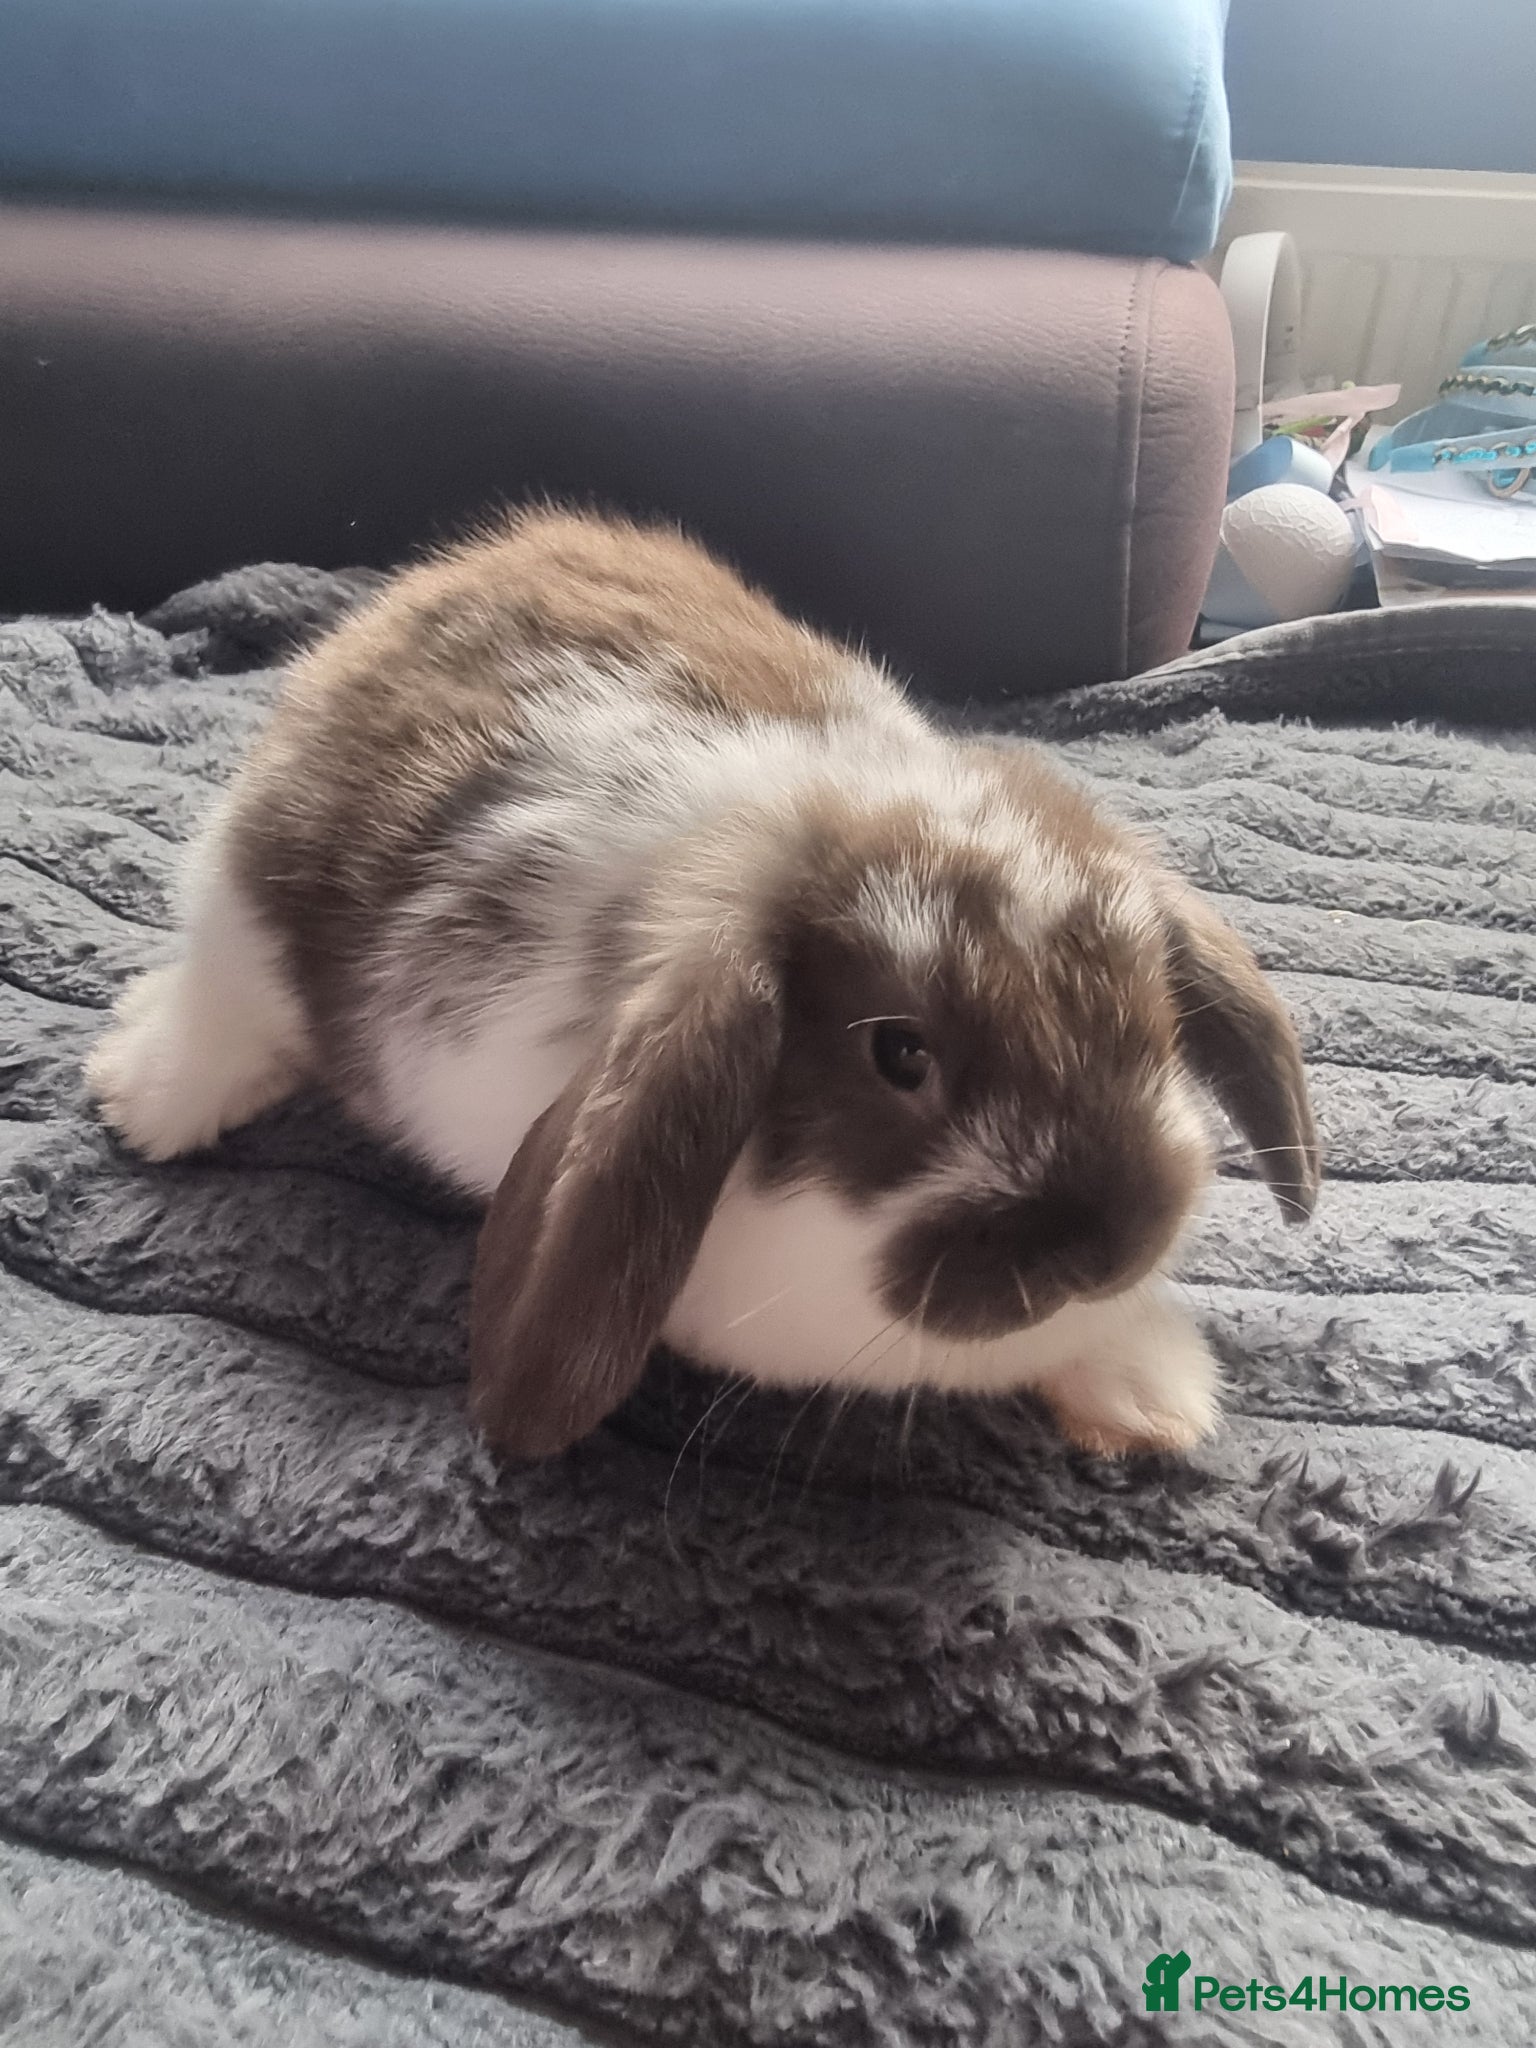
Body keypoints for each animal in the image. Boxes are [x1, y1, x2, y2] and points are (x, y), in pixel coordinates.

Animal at [87, 508, 1319, 1461]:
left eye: (1152, 1021)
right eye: (900, 1052)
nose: (1108, 1242)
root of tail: (398, 606)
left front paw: (1155, 1396)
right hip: (242, 900)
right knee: (224, 998)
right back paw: (142, 1094)